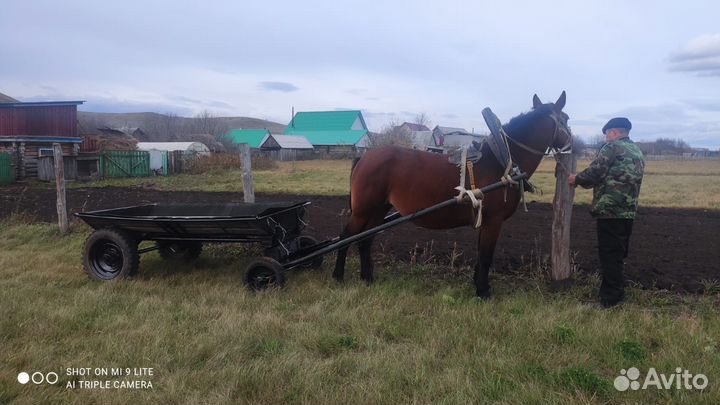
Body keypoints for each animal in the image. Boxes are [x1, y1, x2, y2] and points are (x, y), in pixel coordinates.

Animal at [333, 91, 572, 297]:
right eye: (567, 119)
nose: (574, 145)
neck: (500, 161)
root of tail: (365, 157)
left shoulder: (484, 220)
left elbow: (480, 255)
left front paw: (479, 285)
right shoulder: (493, 221)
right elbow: (486, 256)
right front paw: (483, 292)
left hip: (378, 210)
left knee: (365, 241)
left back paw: (367, 277)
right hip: (363, 211)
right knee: (345, 238)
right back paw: (338, 276)